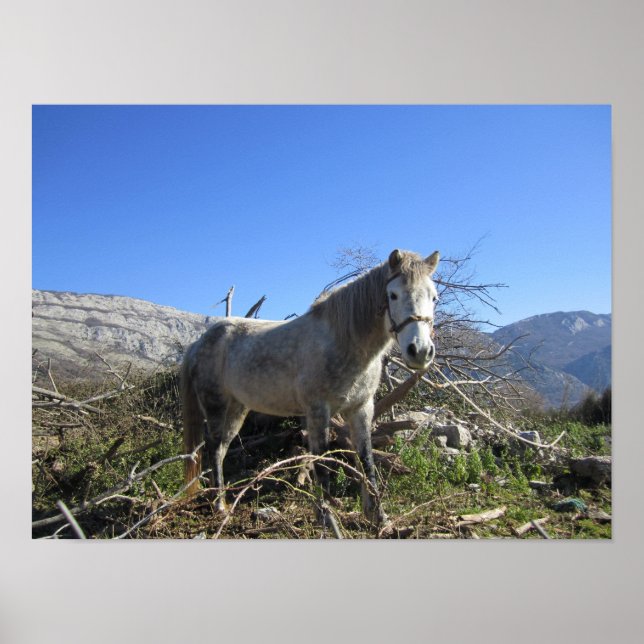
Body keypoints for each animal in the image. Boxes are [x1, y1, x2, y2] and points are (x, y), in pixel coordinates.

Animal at [181, 248, 440, 524]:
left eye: (434, 297)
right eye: (393, 295)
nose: (420, 351)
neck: (344, 342)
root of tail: (199, 342)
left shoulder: (361, 408)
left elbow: (366, 459)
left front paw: (378, 516)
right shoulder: (318, 410)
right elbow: (322, 461)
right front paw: (327, 516)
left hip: (237, 409)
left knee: (221, 449)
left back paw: (224, 502)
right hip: (216, 406)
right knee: (214, 448)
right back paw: (218, 504)